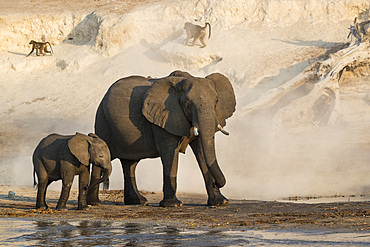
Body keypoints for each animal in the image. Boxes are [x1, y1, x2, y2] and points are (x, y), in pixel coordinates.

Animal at [88, 71, 236, 206]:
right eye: (187, 104)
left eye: (216, 101)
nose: (216, 184)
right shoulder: (162, 119)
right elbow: (169, 152)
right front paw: (173, 204)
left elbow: (201, 149)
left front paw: (220, 202)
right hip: (102, 121)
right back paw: (94, 203)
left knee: (130, 163)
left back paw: (138, 201)